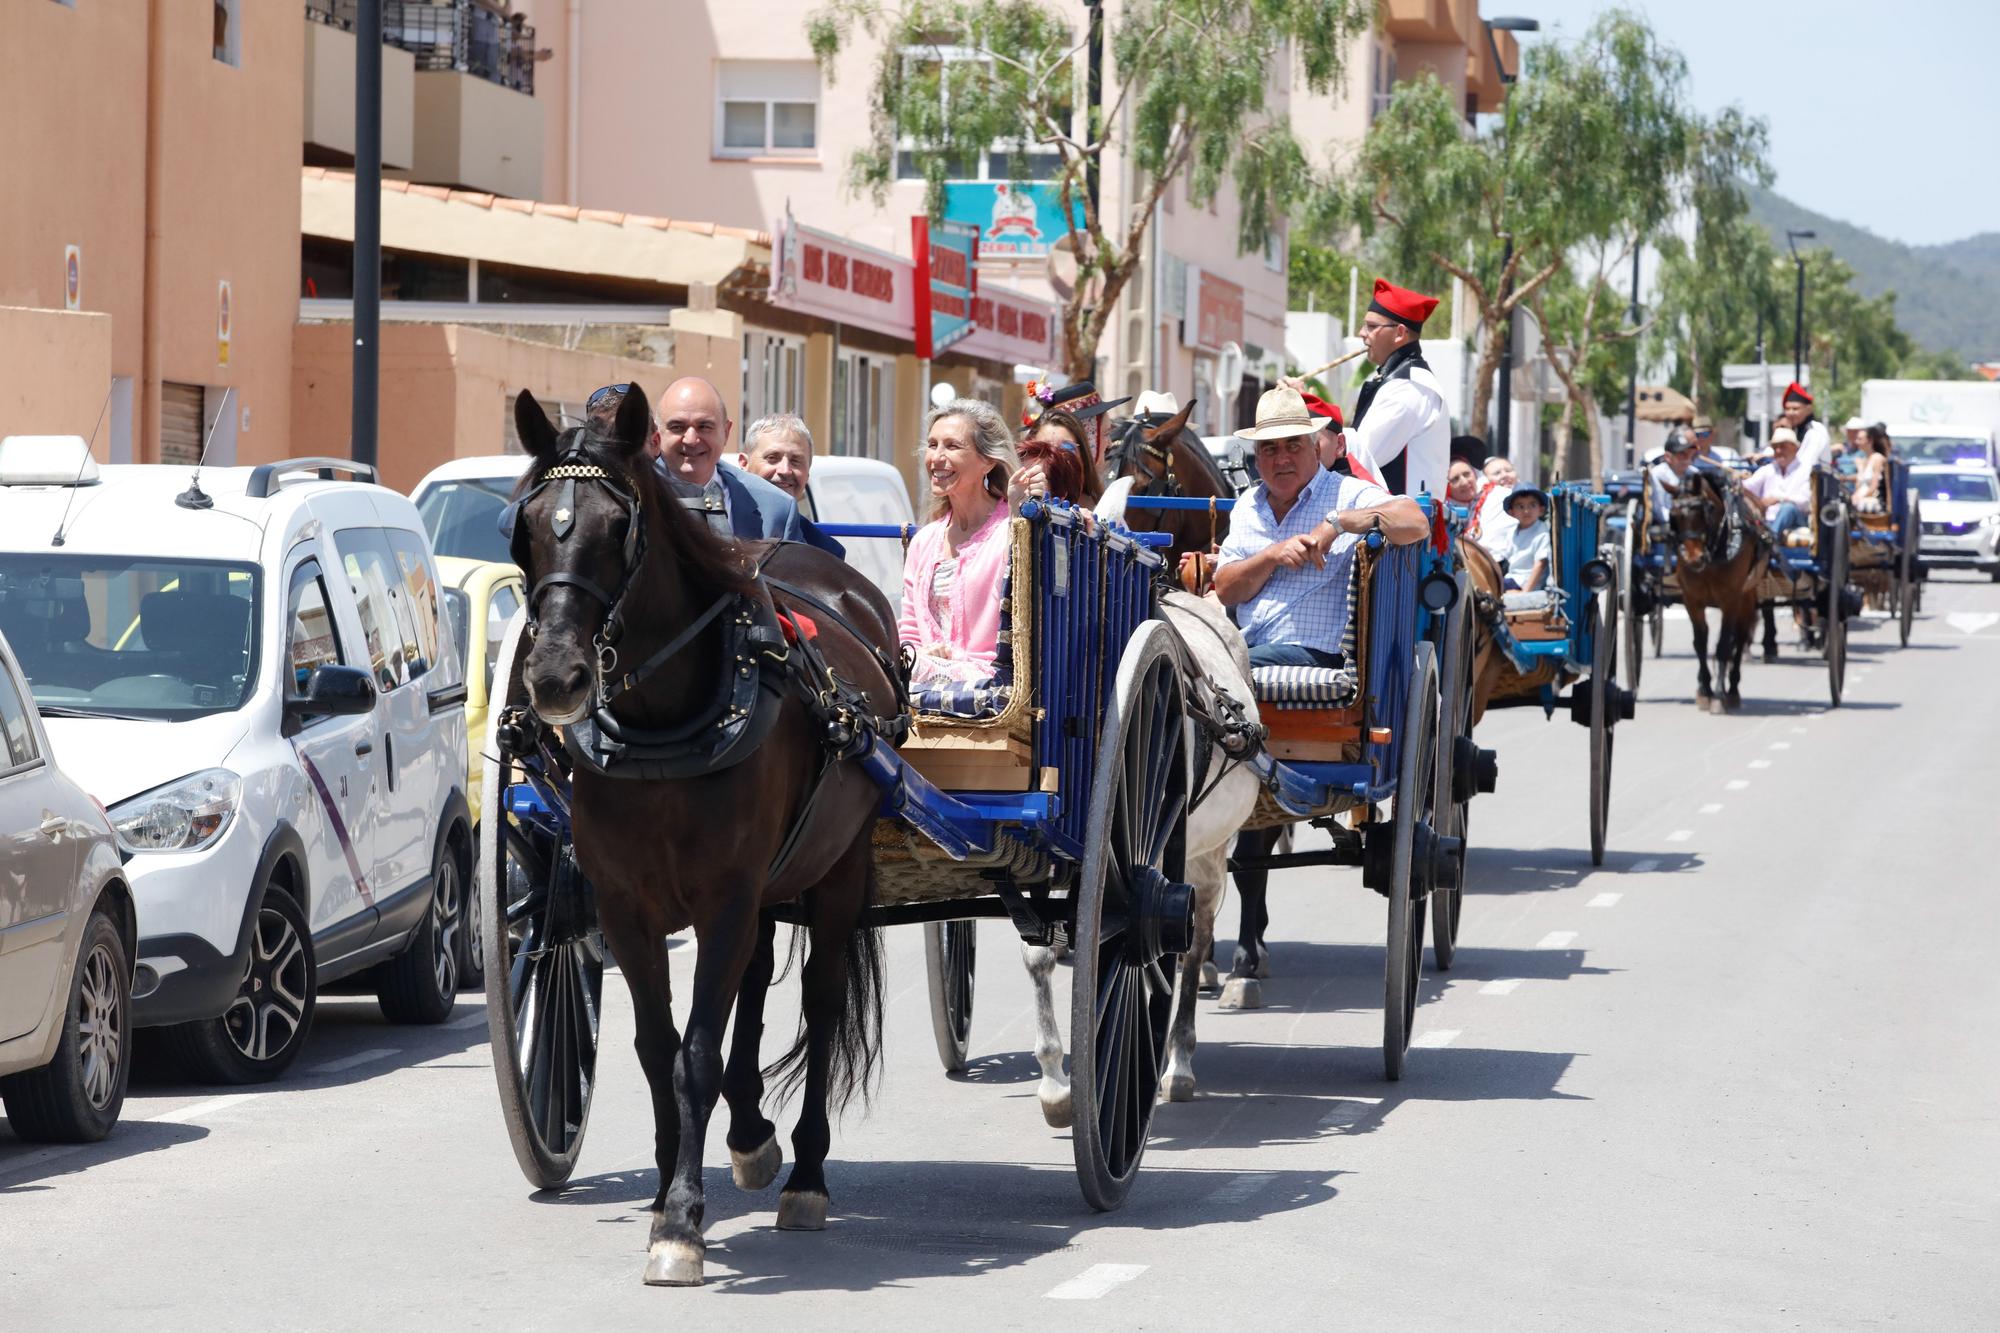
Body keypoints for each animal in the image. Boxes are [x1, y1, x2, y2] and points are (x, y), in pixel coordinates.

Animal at [508, 382, 900, 1280]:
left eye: (617, 527)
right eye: (528, 522)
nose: (554, 677)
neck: (665, 726)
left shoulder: (725, 898)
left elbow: (696, 1053)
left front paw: (684, 1218)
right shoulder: (626, 906)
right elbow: (659, 1047)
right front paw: (664, 1197)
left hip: (835, 872)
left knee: (821, 1001)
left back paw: (806, 1174)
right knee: (754, 982)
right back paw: (752, 1136)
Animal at [1664, 464, 1776, 712]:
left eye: (1706, 510)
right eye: (1673, 516)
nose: (1694, 558)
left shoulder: (1731, 600)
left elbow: (1724, 645)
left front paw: (1717, 695)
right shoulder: (1692, 600)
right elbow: (1700, 643)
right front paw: (1704, 690)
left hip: (1747, 596)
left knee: (1740, 637)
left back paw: (1732, 689)